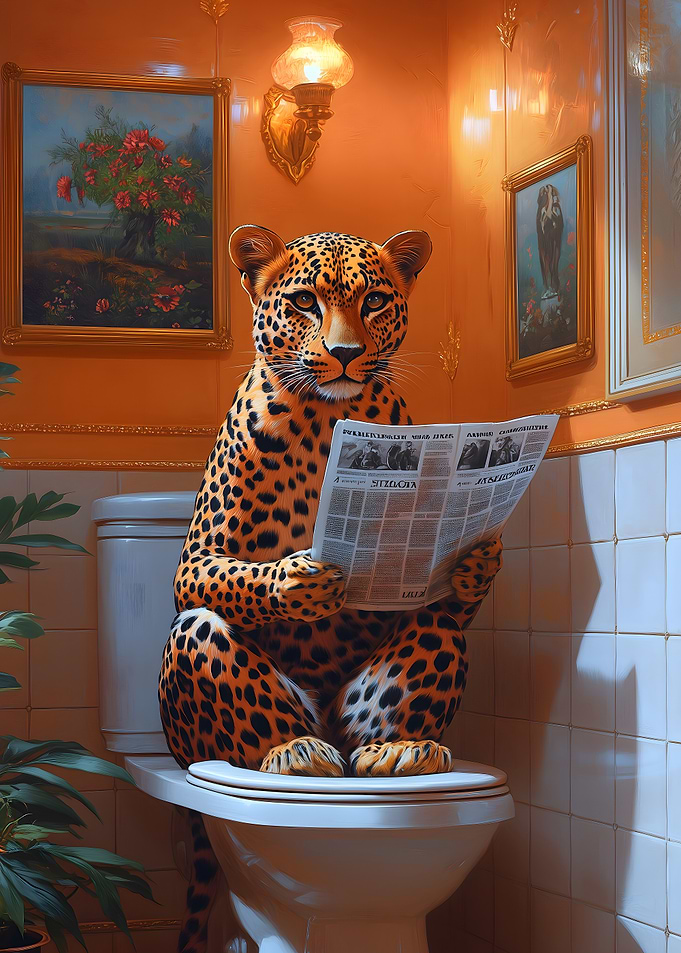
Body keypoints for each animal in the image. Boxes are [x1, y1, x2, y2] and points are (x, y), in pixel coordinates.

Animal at [158, 224, 503, 953]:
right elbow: (220, 577)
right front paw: (300, 579)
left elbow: (448, 591)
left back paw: (398, 749)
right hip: (203, 702)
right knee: (211, 639)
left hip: (388, 692)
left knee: (430, 639)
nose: (345, 354)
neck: (325, 419)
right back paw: (291, 750)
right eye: (304, 302)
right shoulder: (196, 558)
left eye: (374, 300)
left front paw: (475, 559)